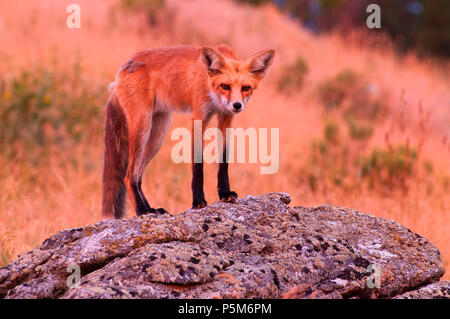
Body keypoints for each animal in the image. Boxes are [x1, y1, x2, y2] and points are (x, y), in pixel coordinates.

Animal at [101, 45, 274, 219]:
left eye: (246, 88)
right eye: (225, 86)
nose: (237, 105)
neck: (212, 91)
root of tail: (124, 67)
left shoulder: (226, 118)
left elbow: (223, 161)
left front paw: (225, 193)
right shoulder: (199, 117)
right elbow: (198, 166)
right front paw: (198, 201)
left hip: (157, 135)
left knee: (137, 177)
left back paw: (151, 208)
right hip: (142, 128)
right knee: (128, 176)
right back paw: (142, 210)